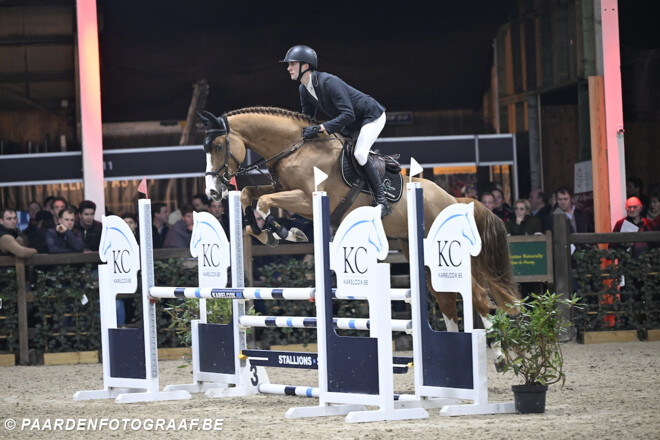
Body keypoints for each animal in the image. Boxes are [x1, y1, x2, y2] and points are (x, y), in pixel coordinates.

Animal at [199, 106, 520, 348]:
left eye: (218, 146)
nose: (213, 192)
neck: (294, 150)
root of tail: (454, 199)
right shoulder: (283, 190)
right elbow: (249, 194)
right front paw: (262, 232)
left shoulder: (307, 198)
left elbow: (264, 201)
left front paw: (284, 231)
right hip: (421, 252)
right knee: (446, 299)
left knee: (475, 295)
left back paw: (499, 352)